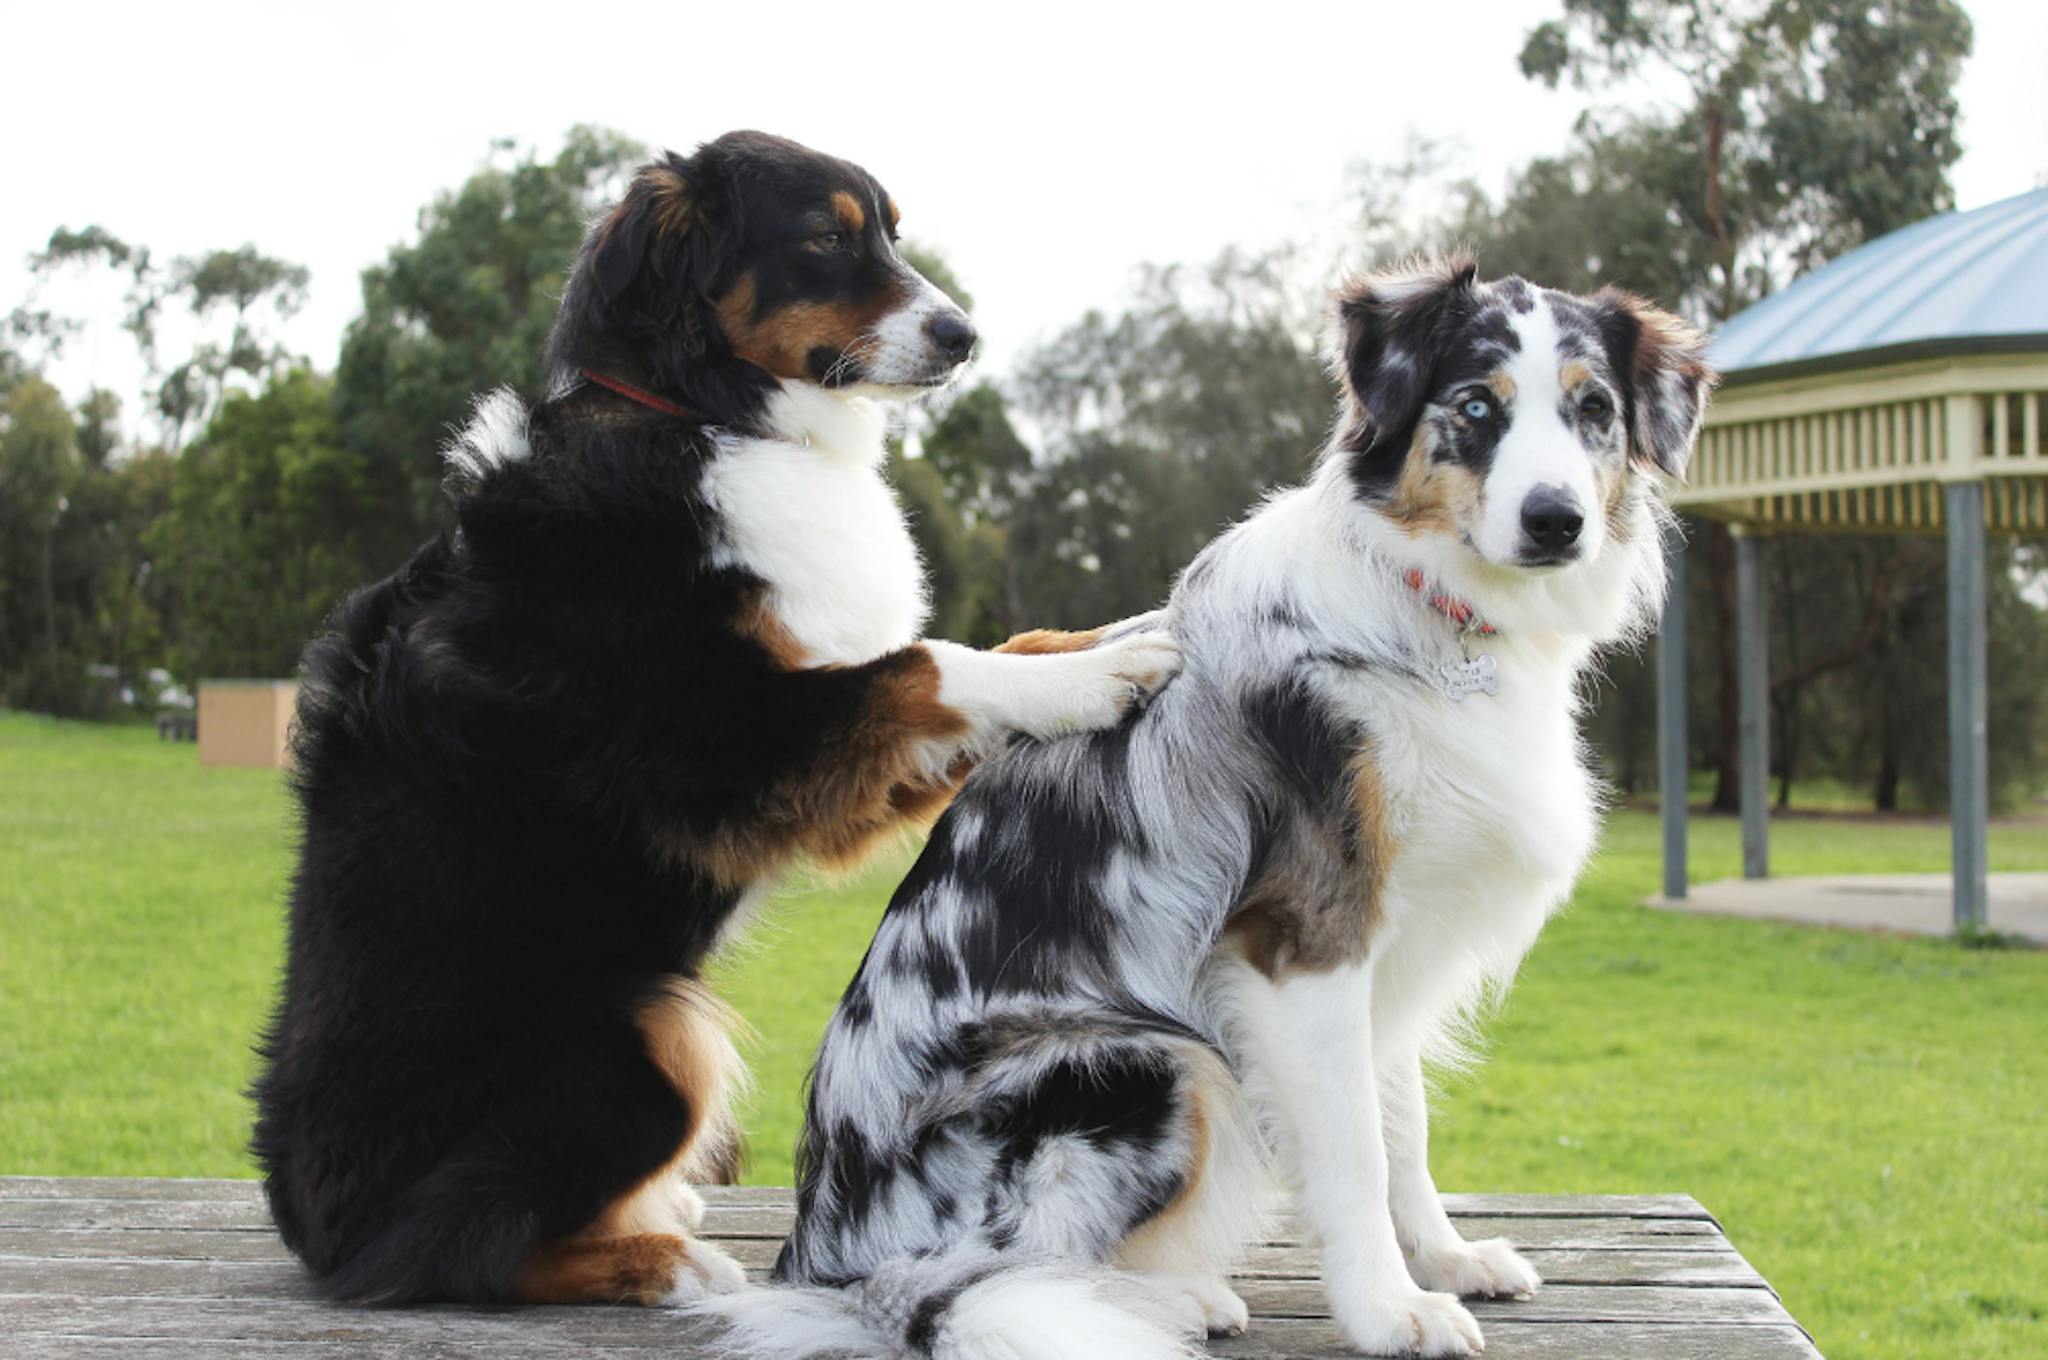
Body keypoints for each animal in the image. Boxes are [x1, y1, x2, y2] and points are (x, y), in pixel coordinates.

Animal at [247, 135, 1179, 1310]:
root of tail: (316, 1233)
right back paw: (665, 1257)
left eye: (891, 234)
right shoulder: (725, 743)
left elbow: (992, 650)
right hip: (642, 1031)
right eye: (824, 236)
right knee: (459, 1249)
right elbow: (931, 663)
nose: (962, 335)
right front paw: (1104, 673)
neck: (699, 413)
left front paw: (1112, 630)